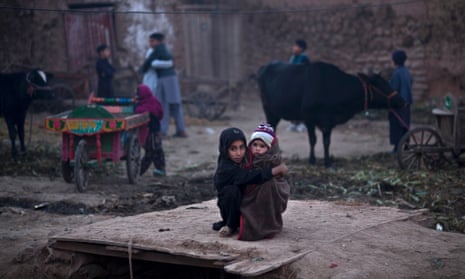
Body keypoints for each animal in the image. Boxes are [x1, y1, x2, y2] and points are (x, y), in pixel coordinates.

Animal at [258, 62, 406, 167]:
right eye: (381, 85)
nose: (402, 101)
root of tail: (265, 67)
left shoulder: (328, 121)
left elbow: (327, 142)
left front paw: (327, 161)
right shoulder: (309, 118)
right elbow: (313, 140)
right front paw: (313, 160)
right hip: (268, 109)